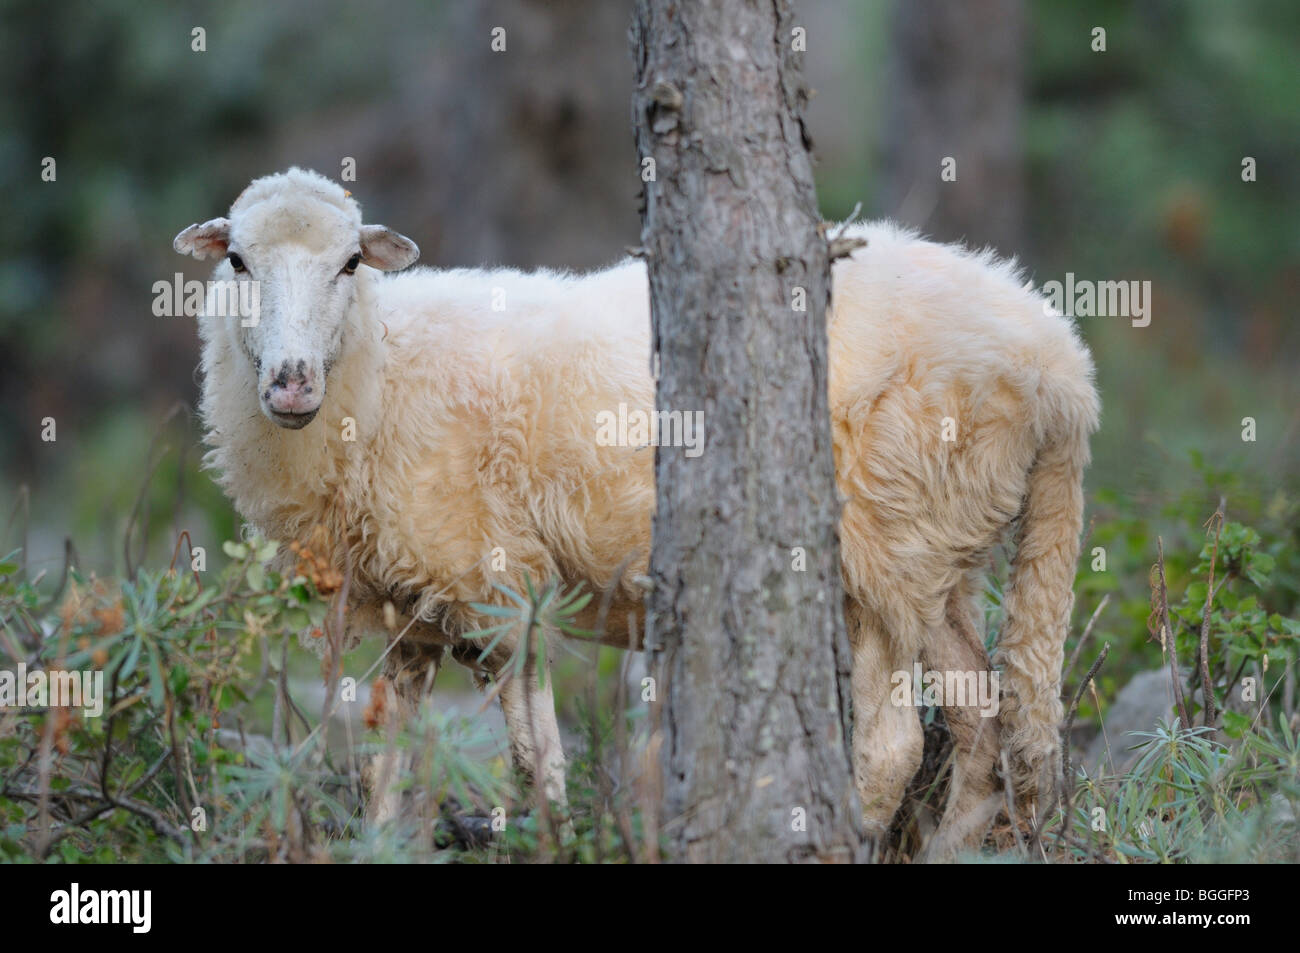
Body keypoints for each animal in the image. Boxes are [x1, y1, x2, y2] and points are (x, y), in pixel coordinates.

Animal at [175, 167, 1097, 842]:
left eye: (349, 265)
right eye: (237, 262)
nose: (291, 383)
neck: (382, 367)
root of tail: (1057, 359)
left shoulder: (497, 585)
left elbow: (536, 761)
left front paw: (553, 833)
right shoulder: (416, 606)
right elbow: (388, 769)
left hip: (885, 538)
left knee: (896, 746)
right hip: (941, 549)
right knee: (984, 718)